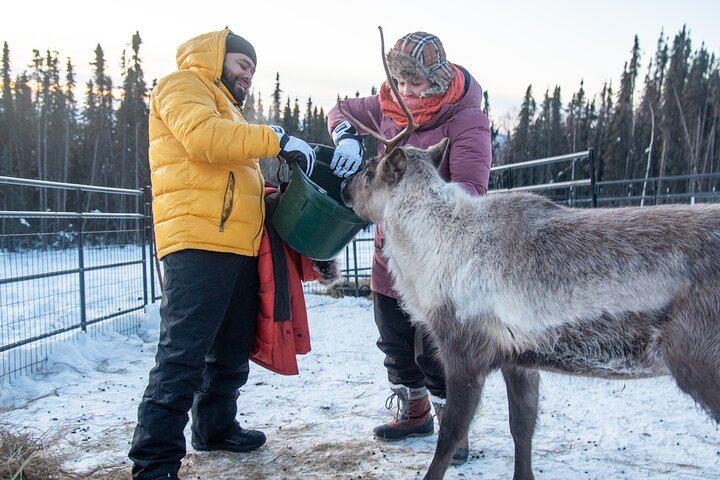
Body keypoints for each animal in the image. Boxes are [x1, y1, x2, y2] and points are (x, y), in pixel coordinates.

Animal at [337, 27, 720, 480]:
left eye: (368, 170)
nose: (342, 188)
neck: (429, 253)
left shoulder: (464, 351)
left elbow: (450, 438)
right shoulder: (519, 357)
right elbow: (523, 428)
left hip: (700, 360)